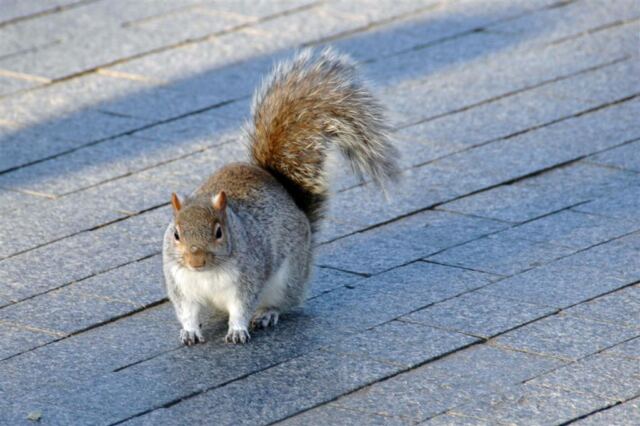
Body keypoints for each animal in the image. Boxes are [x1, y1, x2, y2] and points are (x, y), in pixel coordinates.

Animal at [162, 48, 399, 345]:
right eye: (176, 234)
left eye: (219, 232)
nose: (196, 261)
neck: (207, 273)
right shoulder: (181, 283)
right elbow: (187, 311)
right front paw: (190, 331)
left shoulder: (247, 278)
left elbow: (241, 307)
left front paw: (237, 330)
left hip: (287, 279)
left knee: (283, 302)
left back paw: (267, 314)